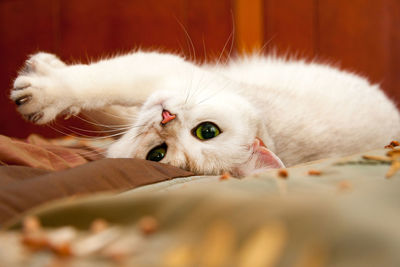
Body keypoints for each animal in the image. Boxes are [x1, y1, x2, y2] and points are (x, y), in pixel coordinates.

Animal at [9, 51, 400, 177]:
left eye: (158, 155)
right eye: (207, 131)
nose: (165, 119)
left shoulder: (158, 70)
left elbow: (101, 84)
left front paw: (42, 90)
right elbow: (110, 107)